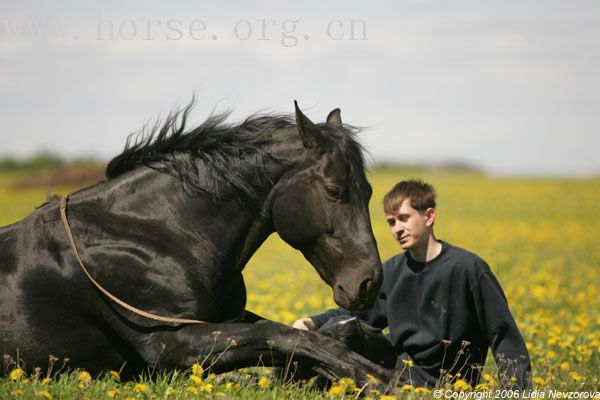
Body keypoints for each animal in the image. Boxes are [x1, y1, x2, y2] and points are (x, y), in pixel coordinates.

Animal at [0, 101, 394, 388]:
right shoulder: (171, 345)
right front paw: (379, 380)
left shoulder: (226, 319)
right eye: (333, 191)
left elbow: (304, 336)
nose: (369, 282)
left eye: (368, 191)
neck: (152, 235)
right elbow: (288, 336)